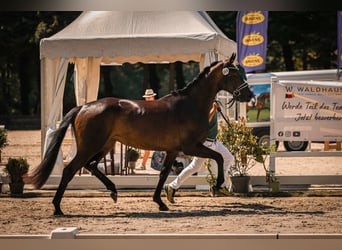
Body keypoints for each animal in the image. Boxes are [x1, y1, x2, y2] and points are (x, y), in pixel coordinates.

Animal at [30, 53, 254, 216]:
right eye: (234, 75)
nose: (250, 95)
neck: (190, 104)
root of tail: (84, 107)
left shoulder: (173, 150)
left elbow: (164, 174)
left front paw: (160, 202)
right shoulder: (192, 146)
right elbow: (218, 157)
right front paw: (217, 185)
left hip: (104, 146)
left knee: (91, 166)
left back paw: (113, 191)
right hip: (90, 147)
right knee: (70, 170)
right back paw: (57, 207)